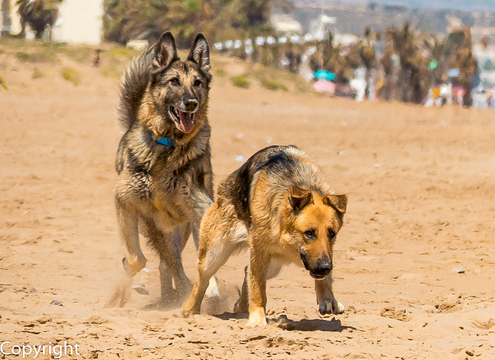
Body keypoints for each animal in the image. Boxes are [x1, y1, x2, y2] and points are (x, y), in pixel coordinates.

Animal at [112, 31, 217, 306]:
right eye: (174, 81)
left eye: (197, 82)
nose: (191, 103)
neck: (168, 144)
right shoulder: (129, 205)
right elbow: (136, 258)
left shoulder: (195, 208)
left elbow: (199, 256)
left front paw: (206, 290)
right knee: (165, 260)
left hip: (180, 224)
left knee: (169, 262)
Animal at [183, 146, 348, 326]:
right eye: (309, 233)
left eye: (332, 234)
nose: (325, 267)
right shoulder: (259, 250)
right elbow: (258, 288)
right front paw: (257, 319)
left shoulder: (324, 254)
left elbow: (324, 278)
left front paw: (328, 299)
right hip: (215, 254)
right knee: (203, 279)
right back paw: (190, 311)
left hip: (273, 265)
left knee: (247, 271)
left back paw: (240, 306)